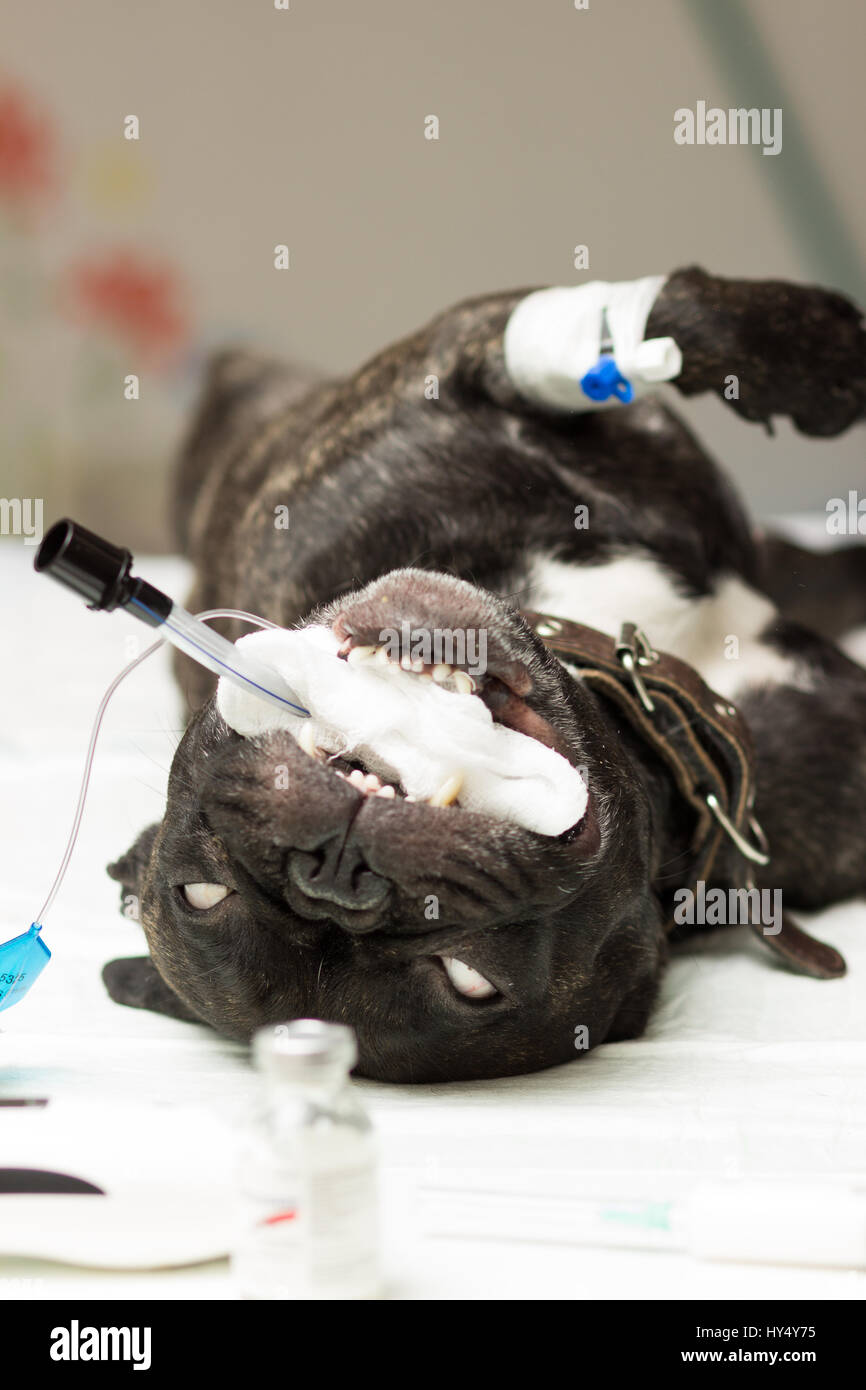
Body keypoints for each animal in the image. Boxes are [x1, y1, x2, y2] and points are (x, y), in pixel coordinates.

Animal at [104, 265, 866, 1078]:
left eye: (197, 892)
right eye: (470, 980)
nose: (336, 870)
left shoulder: (447, 366)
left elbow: (652, 318)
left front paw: (822, 359)